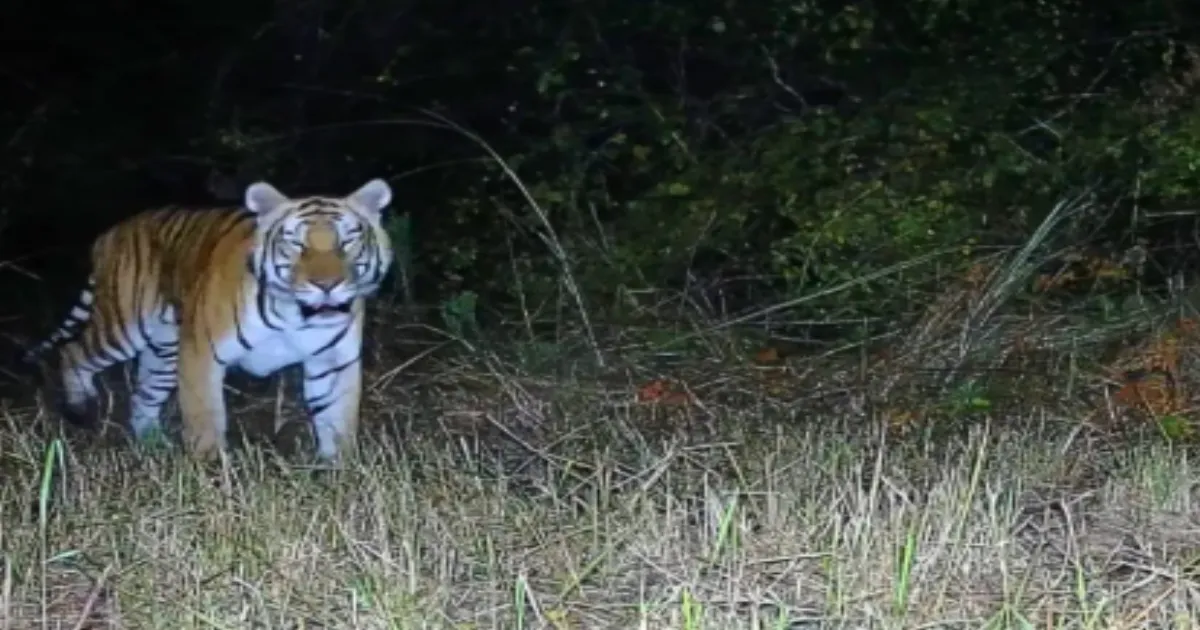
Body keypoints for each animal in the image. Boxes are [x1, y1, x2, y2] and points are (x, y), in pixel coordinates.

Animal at [21, 178, 395, 462]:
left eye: (347, 241)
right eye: (295, 244)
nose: (327, 285)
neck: (296, 314)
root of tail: (110, 233)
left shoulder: (334, 361)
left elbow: (337, 421)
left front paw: (339, 473)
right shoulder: (202, 354)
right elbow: (206, 420)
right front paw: (211, 475)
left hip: (164, 350)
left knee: (143, 396)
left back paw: (154, 444)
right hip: (123, 326)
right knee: (73, 351)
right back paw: (80, 407)